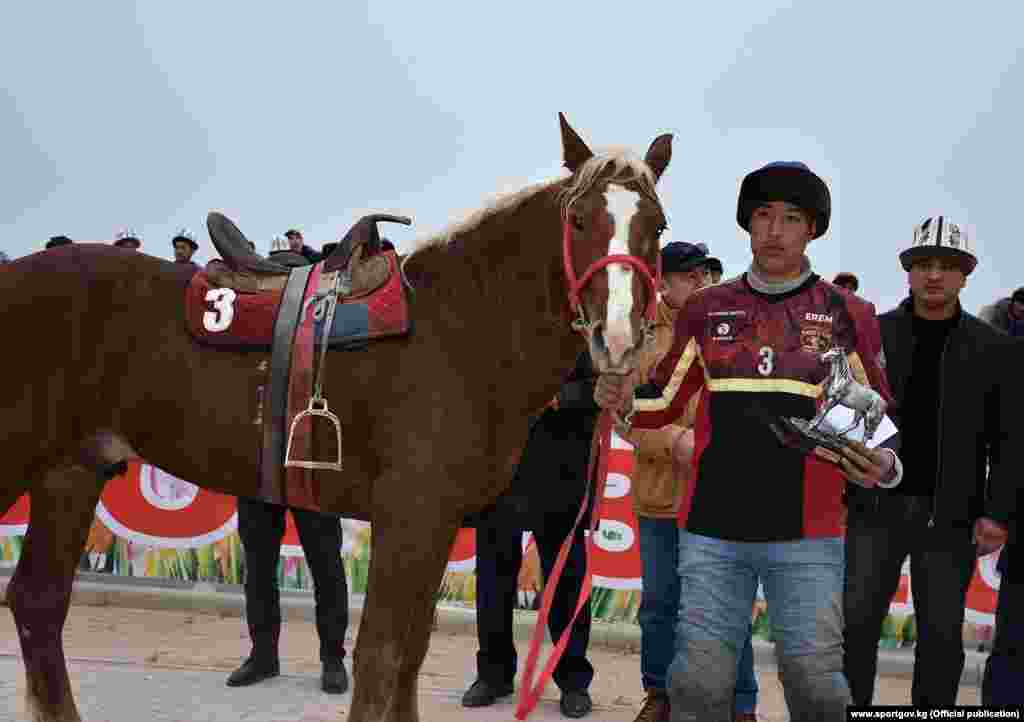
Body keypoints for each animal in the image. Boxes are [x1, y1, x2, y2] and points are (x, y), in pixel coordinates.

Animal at [2, 114, 671, 720]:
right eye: (578, 220)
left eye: (657, 227)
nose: (617, 341)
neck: (454, 328)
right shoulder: (409, 519)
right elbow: (381, 657)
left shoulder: (434, 526)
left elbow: (408, 659)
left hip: (72, 471)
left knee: (36, 604)